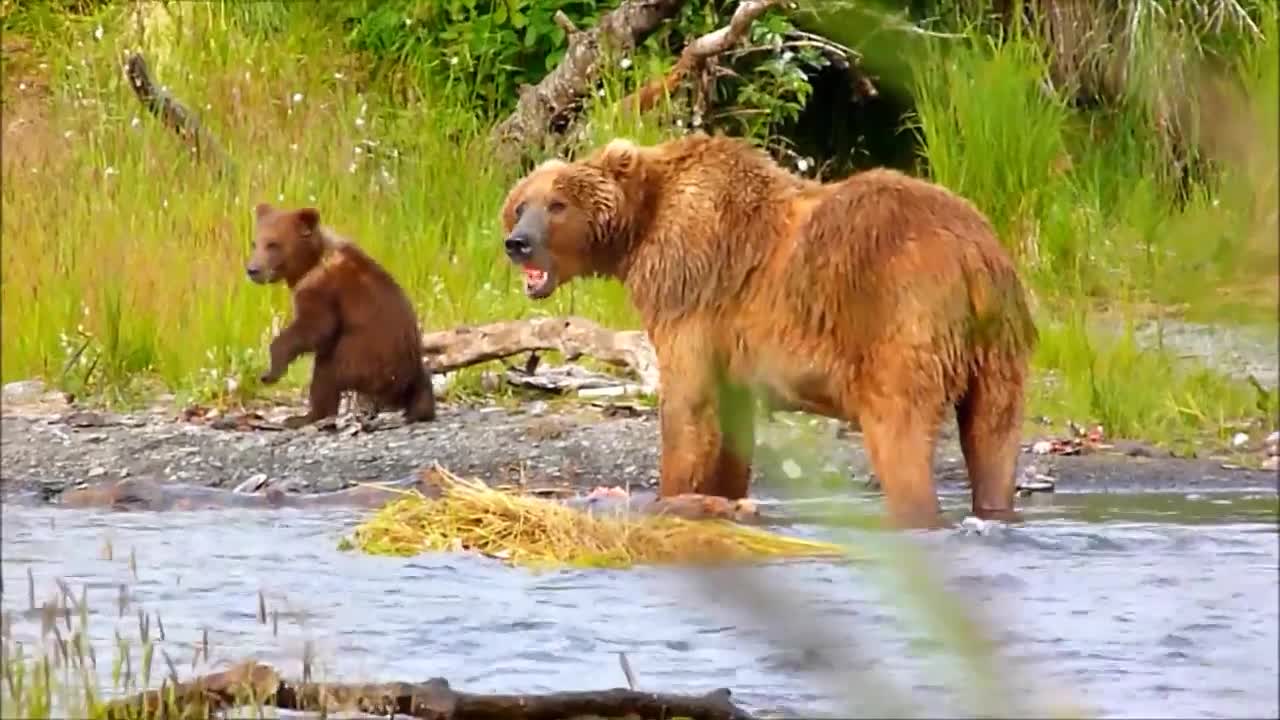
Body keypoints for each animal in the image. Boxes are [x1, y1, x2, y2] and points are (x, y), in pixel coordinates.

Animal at [247, 202, 437, 425]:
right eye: (254, 243)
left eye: (273, 244)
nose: (252, 269)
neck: (310, 264)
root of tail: (400, 386)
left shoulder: (323, 291)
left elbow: (316, 327)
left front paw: (269, 372)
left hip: (364, 357)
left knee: (326, 372)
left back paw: (302, 417)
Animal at [494, 134, 1034, 527]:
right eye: (521, 204)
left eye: (557, 204)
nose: (517, 243)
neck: (639, 231)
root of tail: (974, 255)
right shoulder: (729, 342)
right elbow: (731, 426)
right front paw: (725, 500)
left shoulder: (689, 292)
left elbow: (688, 406)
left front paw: (672, 495)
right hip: (999, 344)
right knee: (993, 435)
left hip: (900, 321)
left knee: (899, 431)